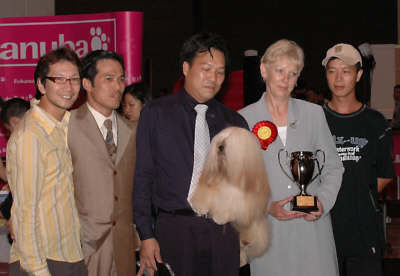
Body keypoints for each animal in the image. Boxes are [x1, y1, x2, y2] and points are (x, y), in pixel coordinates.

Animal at [189, 126, 270, 266]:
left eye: (231, 142)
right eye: (221, 139)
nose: (220, 146)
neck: (225, 175)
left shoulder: (236, 200)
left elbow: (228, 207)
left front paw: (219, 218)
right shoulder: (210, 187)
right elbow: (206, 196)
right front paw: (200, 207)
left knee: (244, 247)